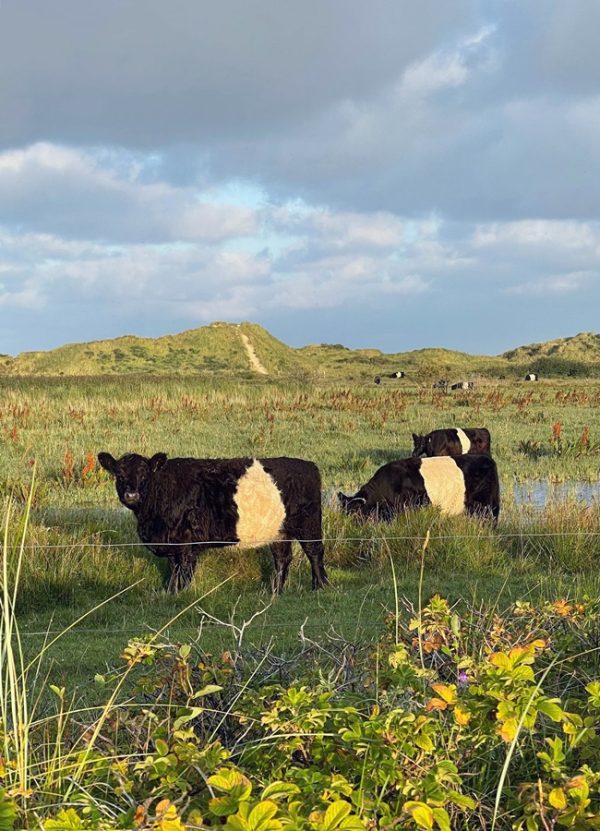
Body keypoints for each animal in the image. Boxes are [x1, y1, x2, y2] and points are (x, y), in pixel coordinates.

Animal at [98, 452, 328, 596]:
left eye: (145, 474)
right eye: (119, 475)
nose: (131, 495)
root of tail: (309, 465)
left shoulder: (188, 543)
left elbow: (185, 570)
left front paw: (183, 595)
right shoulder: (171, 543)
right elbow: (173, 569)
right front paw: (170, 593)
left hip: (307, 523)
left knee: (314, 551)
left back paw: (320, 587)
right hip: (278, 531)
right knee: (282, 558)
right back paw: (275, 592)